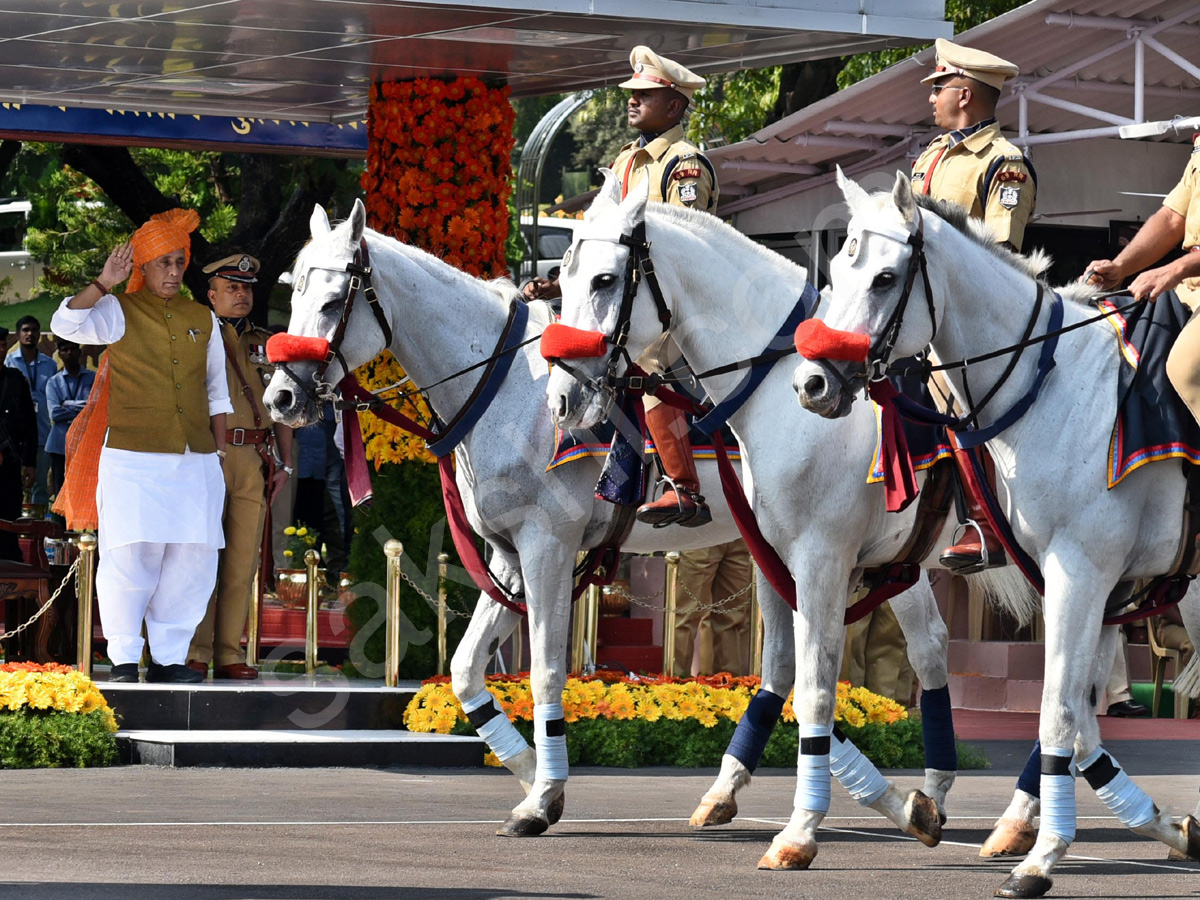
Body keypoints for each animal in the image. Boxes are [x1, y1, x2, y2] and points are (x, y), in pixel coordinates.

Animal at [265, 202, 964, 844]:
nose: (280, 397)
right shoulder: (507, 557)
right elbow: (464, 672)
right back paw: (908, 798)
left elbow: (546, 671)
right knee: (880, 657)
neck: (506, 388)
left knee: (907, 654)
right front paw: (533, 777)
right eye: (293, 289)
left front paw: (544, 793)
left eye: (332, 300)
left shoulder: (546, 547)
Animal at [544, 172, 1012, 868]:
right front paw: (727, 789)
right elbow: (778, 674)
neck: (776, 393)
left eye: (604, 280)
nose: (562, 398)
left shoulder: (823, 563)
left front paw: (800, 829)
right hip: (908, 565)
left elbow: (817, 684)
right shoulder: (773, 561)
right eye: (562, 278)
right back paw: (934, 796)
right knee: (931, 651)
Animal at [792, 168, 1200, 897]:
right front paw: (1161, 825)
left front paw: (1041, 858)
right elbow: (1078, 715)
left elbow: (1060, 712)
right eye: (837, 271)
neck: (1057, 391)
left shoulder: (1080, 574)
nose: (813, 383)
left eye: (886, 278)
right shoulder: (1088, 584)